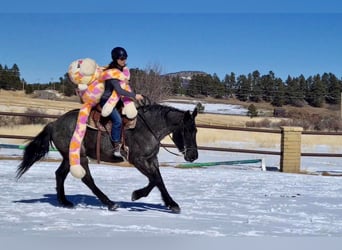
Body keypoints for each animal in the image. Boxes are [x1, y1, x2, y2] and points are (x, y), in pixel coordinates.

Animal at [16, 103, 199, 213]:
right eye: (187, 130)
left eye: (195, 130)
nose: (193, 155)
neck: (147, 128)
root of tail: (54, 124)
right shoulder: (137, 159)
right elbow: (154, 179)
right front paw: (136, 195)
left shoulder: (152, 159)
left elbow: (159, 180)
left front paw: (172, 204)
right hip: (80, 156)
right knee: (87, 179)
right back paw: (110, 203)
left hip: (69, 158)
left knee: (60, 174)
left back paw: (64, 201)